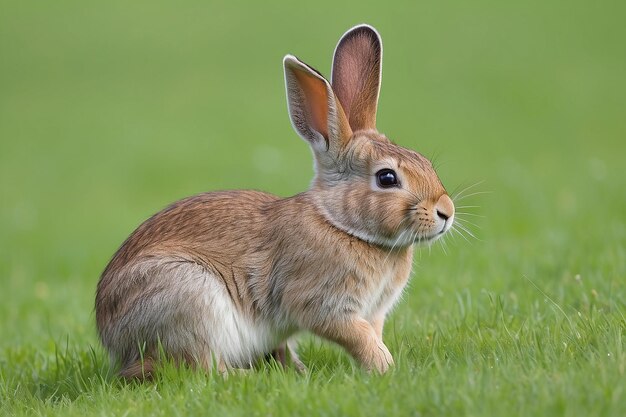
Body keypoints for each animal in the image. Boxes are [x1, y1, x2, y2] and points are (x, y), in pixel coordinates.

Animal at [94, 24, 454, 378]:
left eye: (424, 160)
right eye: (387, 178)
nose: (446, 212)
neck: (342, 224)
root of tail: (113, 341)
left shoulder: (373, 311)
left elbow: (372, 334)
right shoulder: (324, 304)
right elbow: (359, 337)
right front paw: (385, 368)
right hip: (189, 300)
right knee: (198, 366)